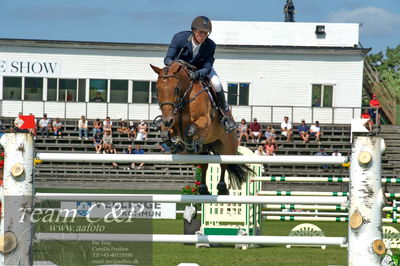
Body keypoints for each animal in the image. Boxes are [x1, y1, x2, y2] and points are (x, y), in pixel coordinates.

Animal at [150, 62, 253, 195]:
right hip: (204, 151)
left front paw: (189, 145)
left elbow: (189, 131)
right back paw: (203, 188)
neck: (184, 100)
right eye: (157, 90)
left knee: (224, 164)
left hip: (227, 146)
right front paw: (176, 146)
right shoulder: (174, 126)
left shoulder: (205, 123)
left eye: (176, 89)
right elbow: (165, 134)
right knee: (204, 165)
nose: (167, 120)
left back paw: (222, 188)